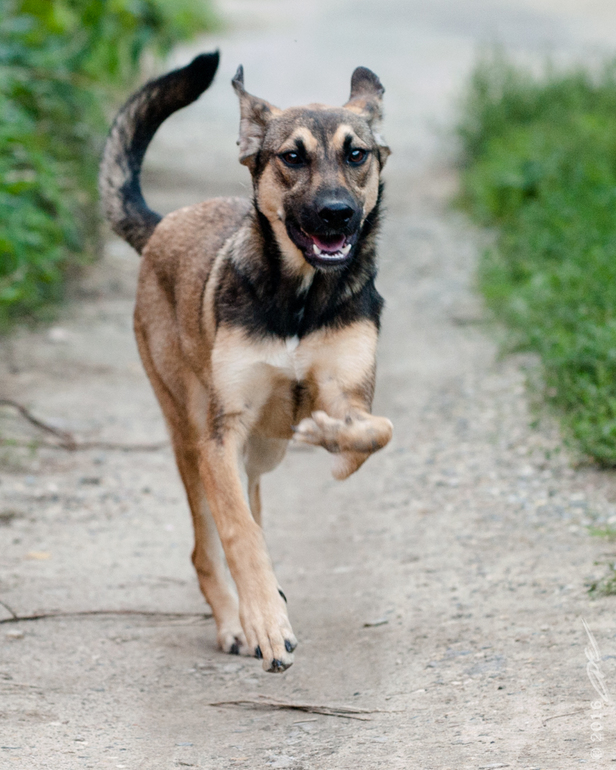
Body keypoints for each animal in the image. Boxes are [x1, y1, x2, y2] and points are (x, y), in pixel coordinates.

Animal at [99, 51, 393, 673]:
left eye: (356, 154)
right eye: (292, 157)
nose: (336, 215)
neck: (301, 296)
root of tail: (164, 224)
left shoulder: (350, 392)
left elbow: (374, 431)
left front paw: (332, 439)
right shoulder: (221, 434)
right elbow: (240, 534)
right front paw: (264, 620)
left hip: (261, 454)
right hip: (190, 436)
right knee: (208, 544)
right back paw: (238, 622)